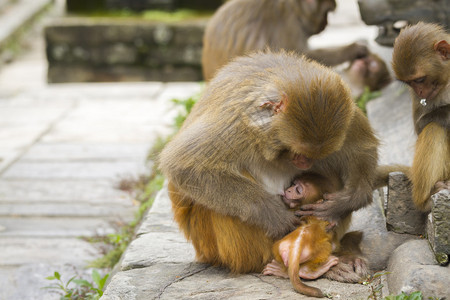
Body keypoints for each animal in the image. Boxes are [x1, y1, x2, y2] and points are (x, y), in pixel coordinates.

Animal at [159, 50, 380, 282]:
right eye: (294, 151)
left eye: (310, 155)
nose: (305, 162)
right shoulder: (235, 124)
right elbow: (184, 165)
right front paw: (275, 215)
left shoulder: (349, 114)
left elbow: (361, 148)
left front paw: (345, 202)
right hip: (219, 248)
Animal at [392, 22, 448, 211]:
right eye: (409, 83)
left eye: (419, 80)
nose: (420, 92)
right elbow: (421, 126)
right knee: (433, 129)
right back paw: (427, 197)